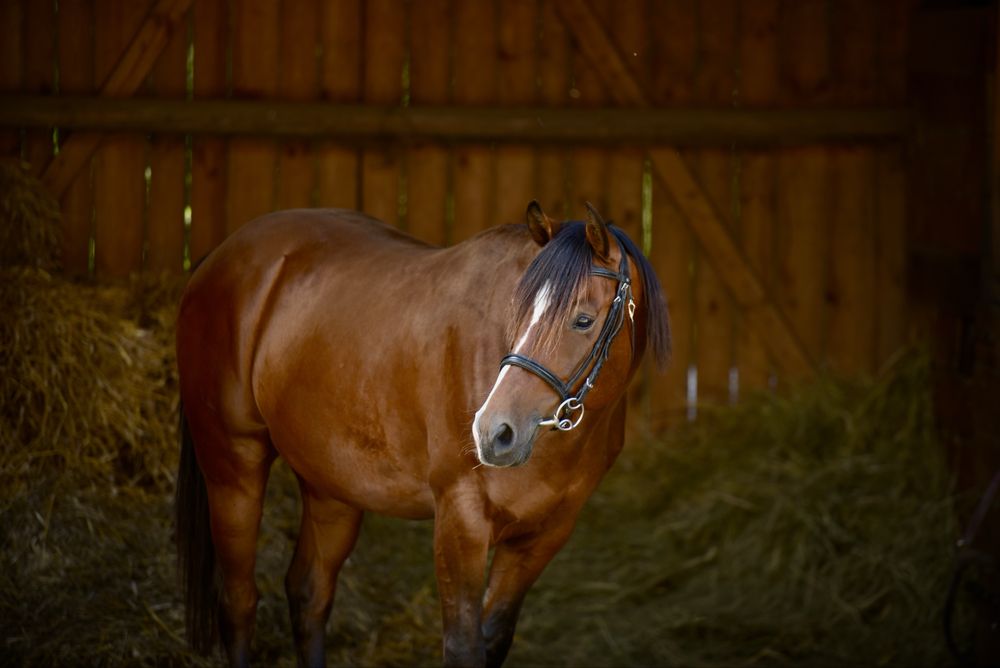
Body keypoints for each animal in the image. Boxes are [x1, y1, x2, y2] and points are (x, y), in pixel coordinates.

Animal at [175, 201, 671, 667]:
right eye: (516, 311)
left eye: (583, 320)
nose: (494, 432)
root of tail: (221, 256)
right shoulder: (460, 520)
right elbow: (464, 648)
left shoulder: (542, 536)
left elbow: (493, 642)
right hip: (233, 469)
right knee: (239, 604)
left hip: (331, 489)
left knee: (308, 595)